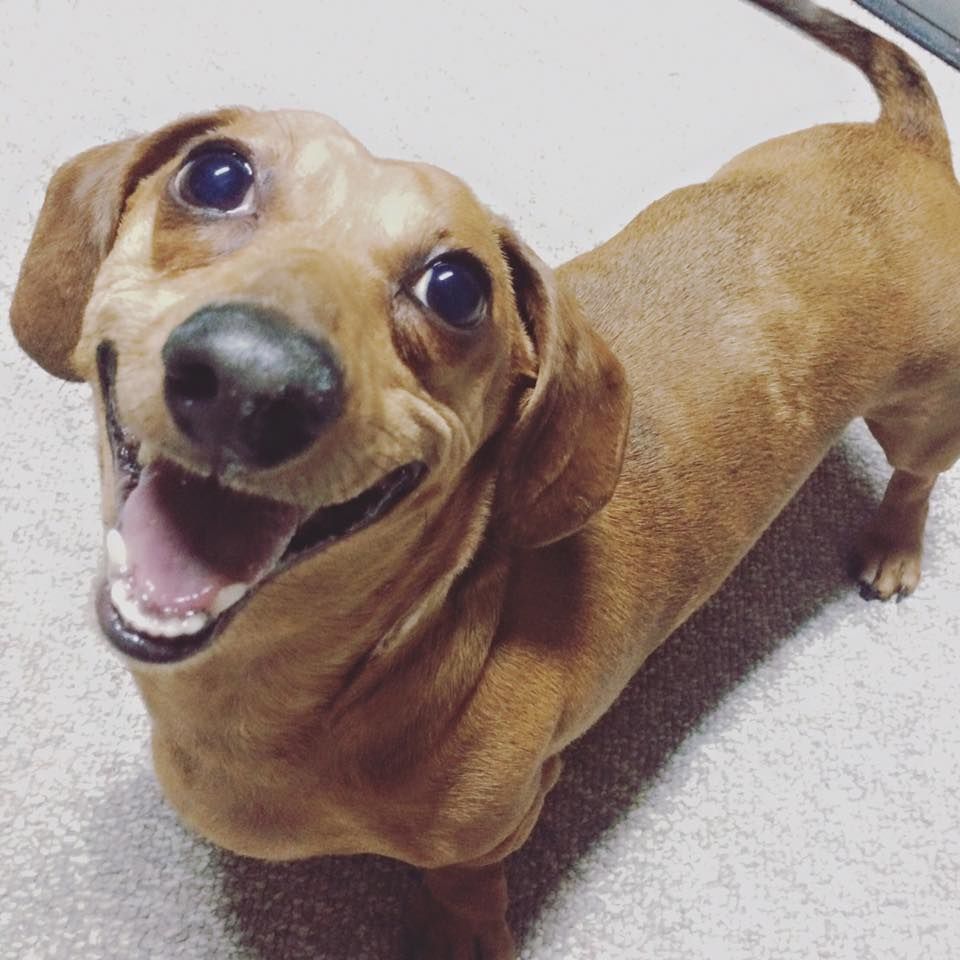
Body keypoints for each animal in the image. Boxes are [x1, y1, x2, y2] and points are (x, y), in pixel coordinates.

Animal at [9, 0, 960, 956]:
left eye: (457, 287)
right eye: (213, 175)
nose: (251, 380)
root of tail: (907, 139)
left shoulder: (499, 822)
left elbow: (465, 886)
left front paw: (458, 932)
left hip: (922, 410)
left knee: (914, 477)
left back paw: (892, 545)